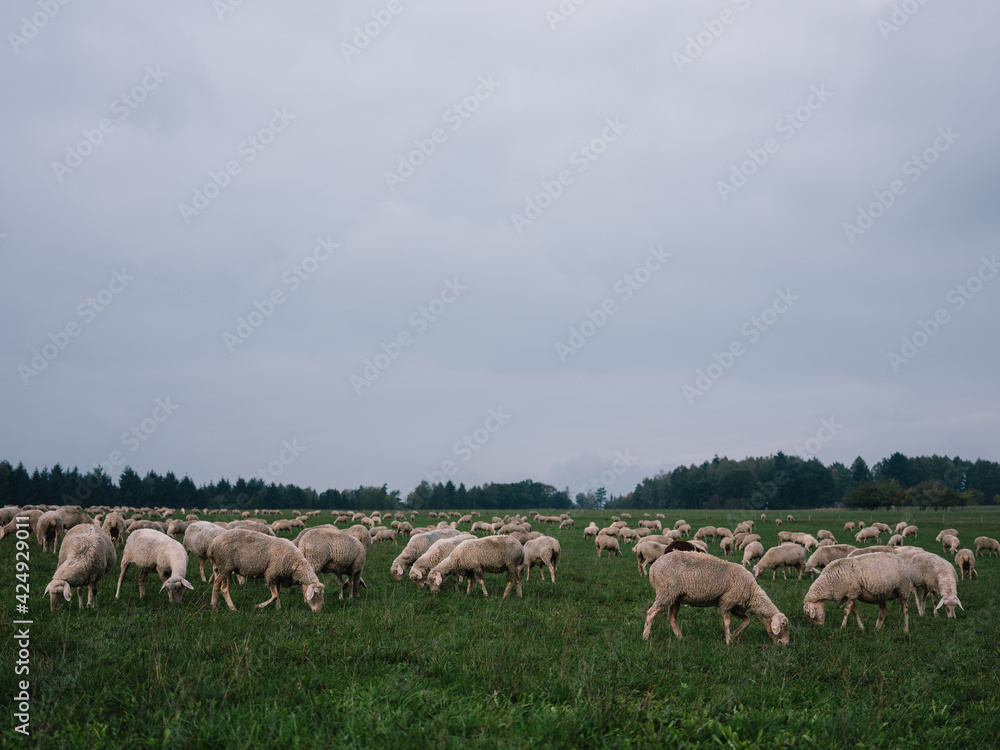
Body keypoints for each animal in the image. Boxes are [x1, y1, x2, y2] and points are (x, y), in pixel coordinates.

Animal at [642, 552, 790, 644]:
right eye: (783, 624)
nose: (785, 644)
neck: (752, 593)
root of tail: (653, 568)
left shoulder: (736, 607)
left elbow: (747, 621)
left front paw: (733, 635)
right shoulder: (727, 602)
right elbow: (727, 623)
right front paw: (728, 641)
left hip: (675, 597)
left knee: (672, 618)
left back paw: (681, 638)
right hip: (666, 592)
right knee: (651, 613)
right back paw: (645, 637)